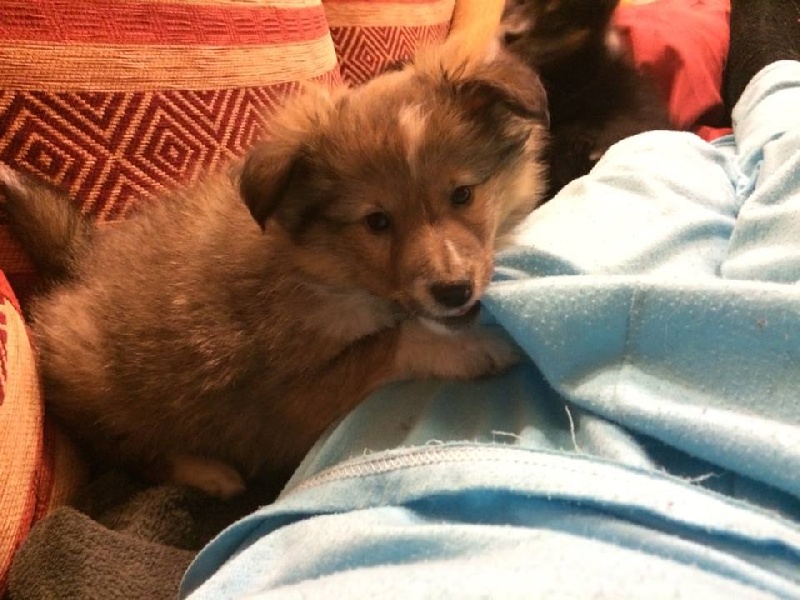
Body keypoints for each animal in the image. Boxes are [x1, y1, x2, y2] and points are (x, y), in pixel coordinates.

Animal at [0, 45, 549, 499]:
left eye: (463, 194)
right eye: (377, 221)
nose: (453, 291)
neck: (327, 267)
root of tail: (79, 259)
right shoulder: (286, 399)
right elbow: (391, 341)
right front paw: (479, 346)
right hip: (111, 396)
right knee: (128, 452)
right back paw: (209, 473)